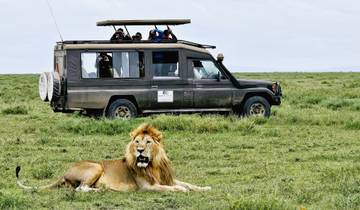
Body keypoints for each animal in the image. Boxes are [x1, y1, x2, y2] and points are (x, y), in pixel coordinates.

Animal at [16, 124, 211, 193]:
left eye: (147, 142)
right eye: (137, 142)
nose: (140, 150)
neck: (153, 165)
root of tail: (64, 173)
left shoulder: (167, 178)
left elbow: (188, 184)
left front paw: (205, 187)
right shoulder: (147, 187)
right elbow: (175, 188)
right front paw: (182, 190)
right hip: (96, 167)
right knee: (80, 188)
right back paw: (99, 190)